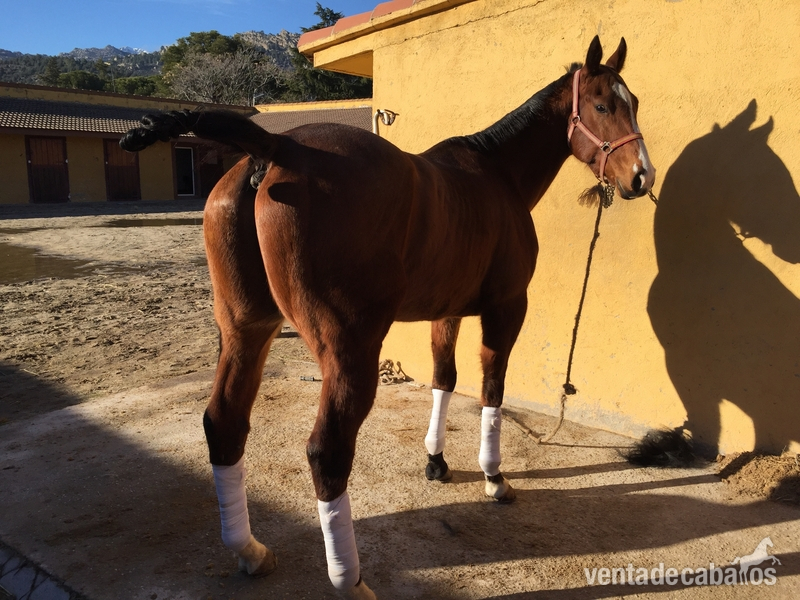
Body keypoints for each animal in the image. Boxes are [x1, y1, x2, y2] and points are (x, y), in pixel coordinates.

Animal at [121, 36, 654, 600]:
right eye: (602, 104)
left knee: (224, 425)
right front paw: (494, 478)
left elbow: (444, 379)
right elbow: (491, 389)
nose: (642, 176)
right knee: (327, 451)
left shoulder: (447, 313)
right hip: (349, 349)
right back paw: (349, 580)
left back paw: (250, 551)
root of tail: (279, 148)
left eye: (634, 101)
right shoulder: (507, 307)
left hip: (248, 330)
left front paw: (436, 461)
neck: (496, 175)